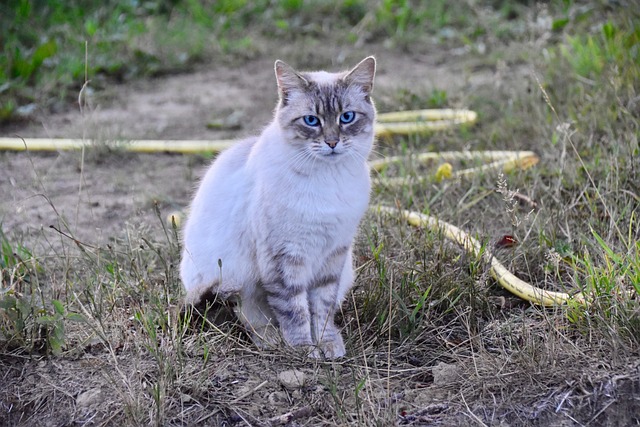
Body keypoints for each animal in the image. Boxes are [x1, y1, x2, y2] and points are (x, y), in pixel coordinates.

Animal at [178, 56, 378, 358]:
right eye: (311, 120)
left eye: (347, 117)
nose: (332, 142)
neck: (328, 181)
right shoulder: (285, 256)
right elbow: (295, 311)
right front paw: (305, 350)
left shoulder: (333, 255)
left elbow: (322, 309)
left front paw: (327, 344)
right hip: (234, 280)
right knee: (248, 316)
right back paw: (272, 340)